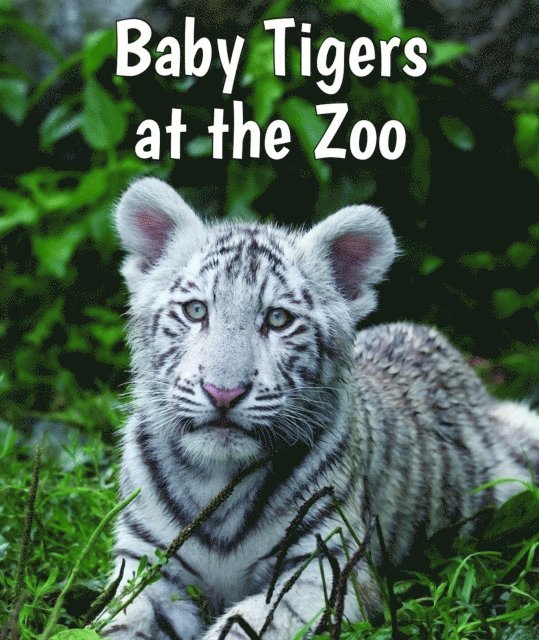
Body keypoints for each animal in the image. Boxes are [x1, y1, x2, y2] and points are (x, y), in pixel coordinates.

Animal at [104, 177, 539, 640]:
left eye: (277, 319)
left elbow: (246, 624)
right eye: (196, 310)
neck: (218, 481)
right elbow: (120, 622)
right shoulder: (147, 565)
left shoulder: (324, 570)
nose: (223, 392)